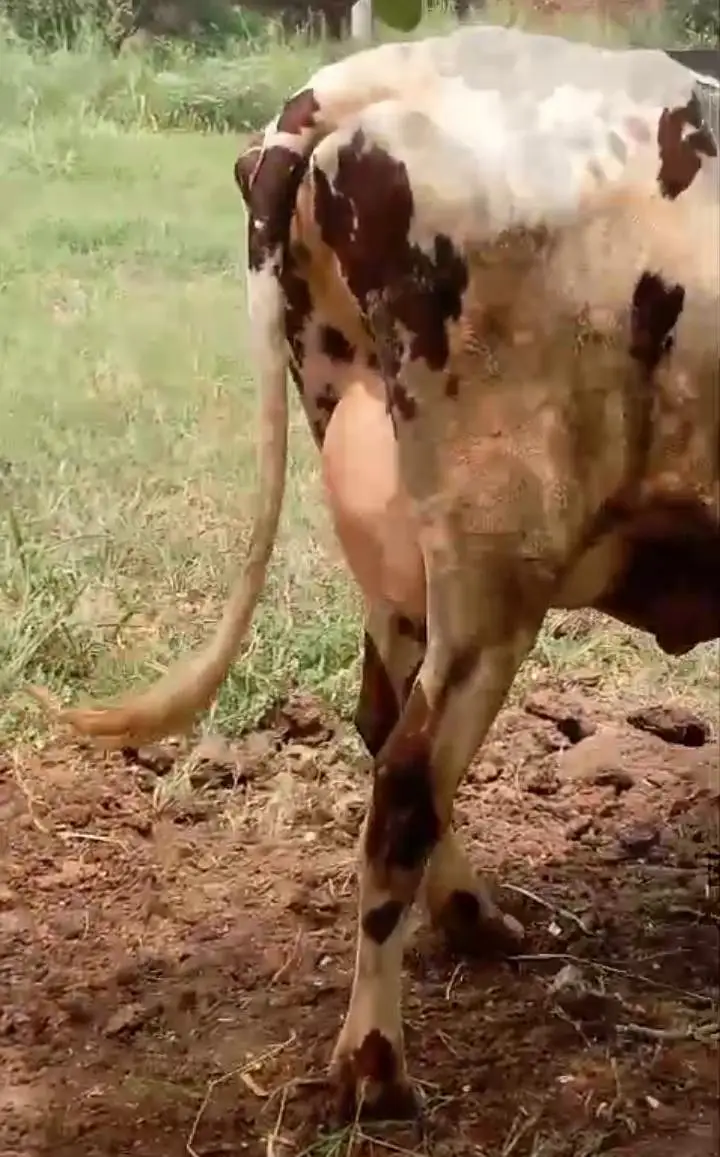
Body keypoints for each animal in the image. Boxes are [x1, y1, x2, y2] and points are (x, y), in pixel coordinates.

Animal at [30, 25, 719, 1119]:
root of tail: (354, 83)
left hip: (401, 540)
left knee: (385, 722)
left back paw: (471, 919)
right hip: (497, 560)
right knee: (405, 772)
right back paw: (375, 1064)